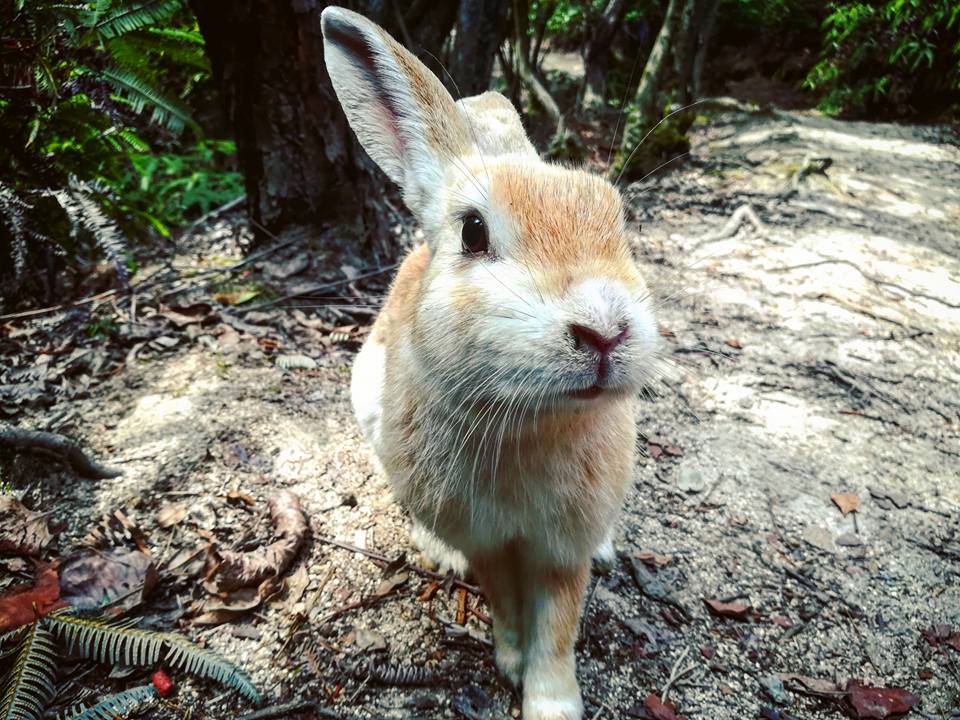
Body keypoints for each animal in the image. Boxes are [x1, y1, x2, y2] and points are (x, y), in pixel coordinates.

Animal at [322, 8, 660, 716]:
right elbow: (506, 603)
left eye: (618, 223)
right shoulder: (488, 542)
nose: (605, 331)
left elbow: (559, 622)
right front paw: (510, 663)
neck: (530, 423)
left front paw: (551, 700)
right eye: (472, 232)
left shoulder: (562, 547)